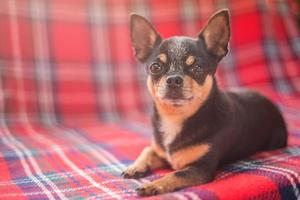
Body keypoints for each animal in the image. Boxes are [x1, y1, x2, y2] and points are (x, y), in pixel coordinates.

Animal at [122, 9, 288, 197]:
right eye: (155, 67)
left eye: (197, 68)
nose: (173, 79)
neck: (175, 118)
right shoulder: (161, 151)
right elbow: (148, 149)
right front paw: (135, 166)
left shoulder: (200, 168)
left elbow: (175, 174)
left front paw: (154, 185)